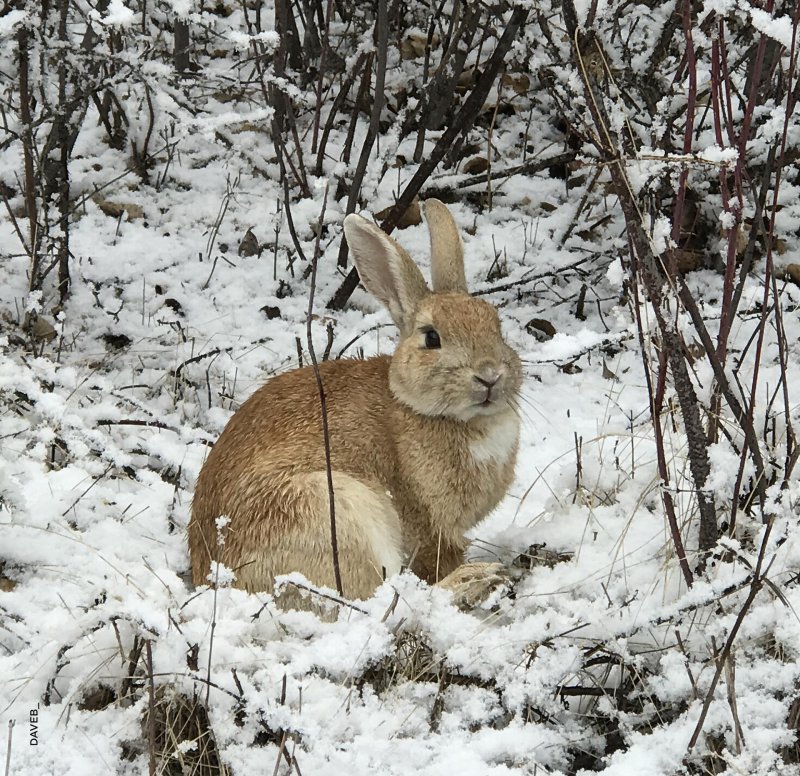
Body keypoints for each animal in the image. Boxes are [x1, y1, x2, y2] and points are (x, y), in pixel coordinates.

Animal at [189, 199, 524, 600]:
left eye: (496, 326)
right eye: (432, 338)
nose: (489, 376)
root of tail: (217, 580)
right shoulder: (431, 526)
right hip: (339, 513)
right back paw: (478, 580)